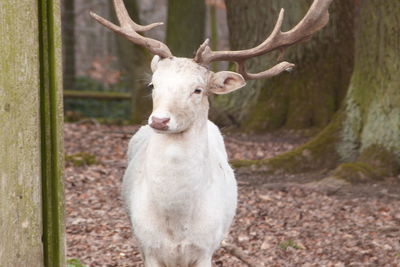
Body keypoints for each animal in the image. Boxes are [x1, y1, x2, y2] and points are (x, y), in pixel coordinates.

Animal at [90, 1, 332, 266]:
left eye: (198, 89)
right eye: (153, 84)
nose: (160, 120)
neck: (177, 226)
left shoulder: (205, 249)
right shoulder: (149, 248)